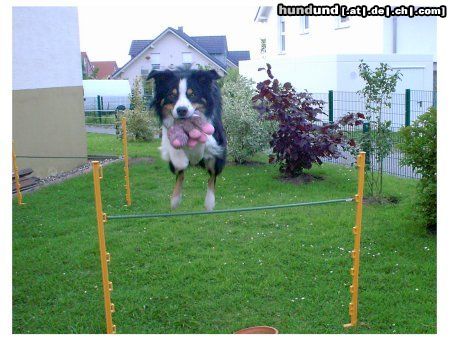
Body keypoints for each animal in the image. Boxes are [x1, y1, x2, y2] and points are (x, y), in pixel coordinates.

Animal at [148, 68, 227, 211]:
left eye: (193, 94)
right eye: (172, 94)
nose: (182, 110)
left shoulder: (216, 137)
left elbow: (205, 139)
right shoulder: (166, 131)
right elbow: (172, 144)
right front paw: (180, 158)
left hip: (217, 161)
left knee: (212, 176)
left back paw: (209, 202)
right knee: (180, 175)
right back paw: (175, 199)